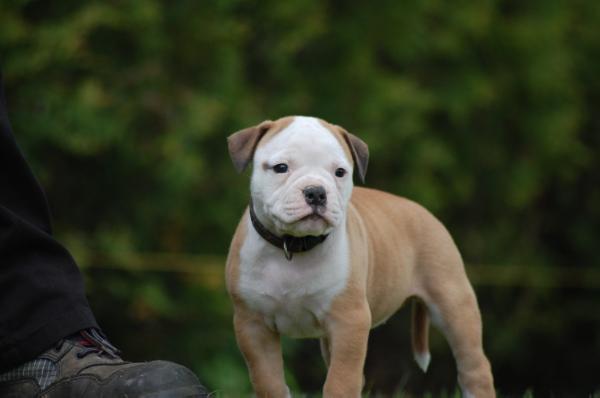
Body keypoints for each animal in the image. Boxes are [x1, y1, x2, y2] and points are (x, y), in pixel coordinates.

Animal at [224, 116, 492, 398]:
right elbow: (269, 381)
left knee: (474, 367)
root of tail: (423, 211)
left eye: (340, 172)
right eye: (281, 168)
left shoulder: (349, 322)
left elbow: (340, 382)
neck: (293, 246)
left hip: (453, 303)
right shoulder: (252, 326)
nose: (316, 192)